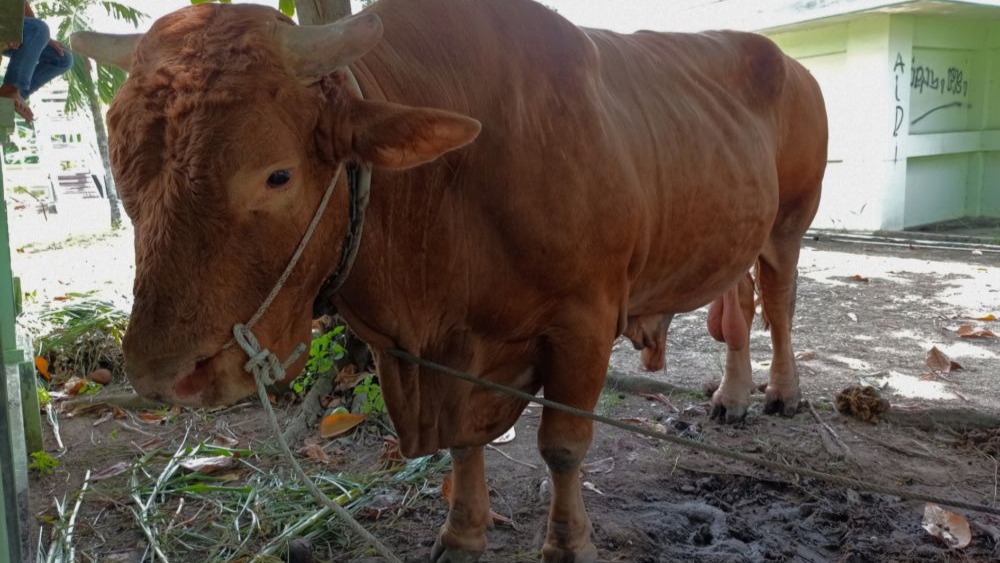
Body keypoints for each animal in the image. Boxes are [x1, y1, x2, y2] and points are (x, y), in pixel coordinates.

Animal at [68, 2, 820, 560]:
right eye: (123, 173)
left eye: (277, 174)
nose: (166, 375)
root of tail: (785, 59)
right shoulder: (454, 348)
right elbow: (465, 441)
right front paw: (461, 534)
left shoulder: (584, 320)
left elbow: (563, 447)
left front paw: (569, 544)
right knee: (742, 303)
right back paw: (731, 395)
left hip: (790, 221)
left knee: (780, 303)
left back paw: (780, 392)